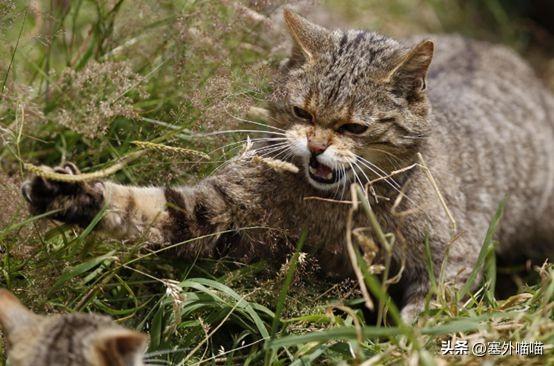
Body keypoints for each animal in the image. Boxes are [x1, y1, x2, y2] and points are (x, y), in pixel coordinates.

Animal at [21, 10, 552, 322]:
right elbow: (145, 206)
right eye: (303, 113)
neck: (331, 205)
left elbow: (428, 313)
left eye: (354, 128)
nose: (315, 147)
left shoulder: (452, 252)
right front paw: (73, 194)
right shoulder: (220, 208)